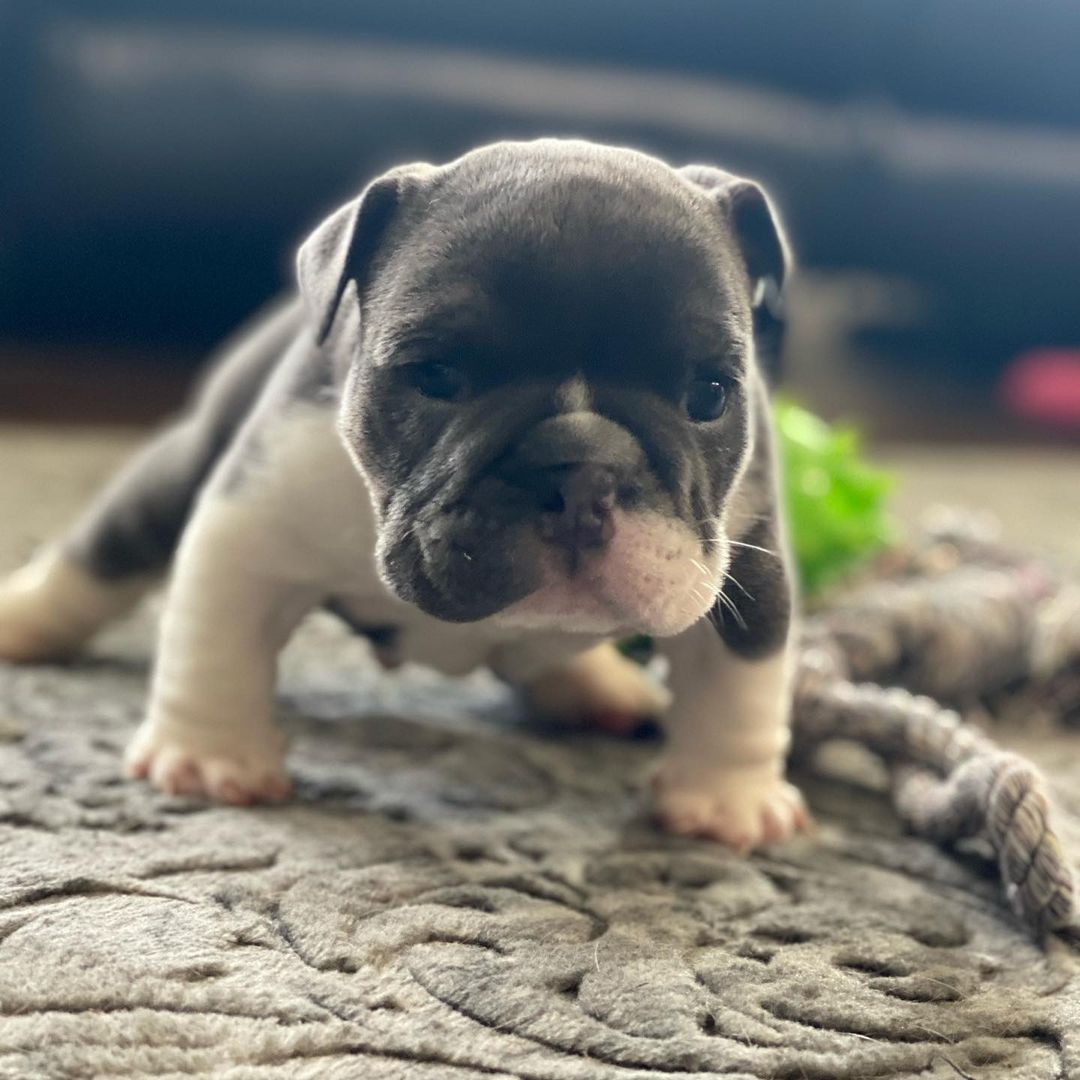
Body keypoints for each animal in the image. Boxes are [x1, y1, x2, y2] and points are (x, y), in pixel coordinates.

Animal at [0, 141, 812, 851]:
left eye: (709, 394)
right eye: (438, 376)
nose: (584, 471)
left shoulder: (748, 561)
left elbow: (741, 683)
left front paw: (728, 800)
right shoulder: (252, 521)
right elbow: (215, 638)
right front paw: (210, 755)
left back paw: (596, 684)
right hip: (175, 472)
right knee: (100, 556)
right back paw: (25, 620)